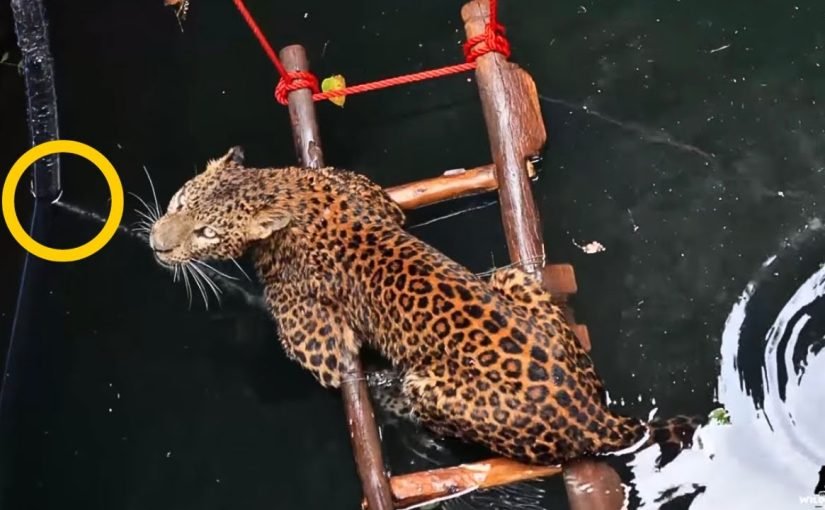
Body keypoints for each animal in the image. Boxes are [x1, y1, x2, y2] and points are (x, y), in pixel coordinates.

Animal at [148, 146, 704, 467]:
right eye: (179, 203)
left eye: (206, 232)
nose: (156, 244)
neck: (284, 191)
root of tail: (595, 415)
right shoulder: (369, 192)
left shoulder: (315, 342)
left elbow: (334, 362)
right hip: (510, 277)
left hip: (431, 387)